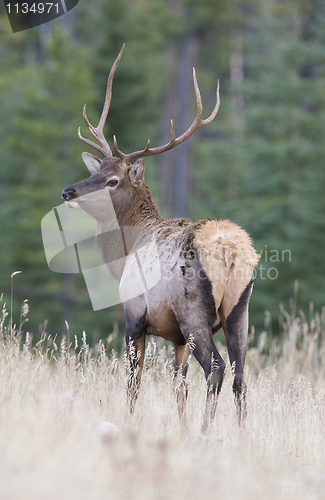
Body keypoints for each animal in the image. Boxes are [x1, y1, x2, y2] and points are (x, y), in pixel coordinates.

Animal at [60, 45, 258, 432]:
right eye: (96, 171)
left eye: (113, 181)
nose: (68, 191)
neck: (122, 252)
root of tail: (230, 251)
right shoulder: (176, 338)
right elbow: (178, 385)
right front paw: (180, 429)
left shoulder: (135, 315)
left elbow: (133, 380)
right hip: (238, 312)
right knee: (241, 376)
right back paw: (243, 435)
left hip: (193, 313)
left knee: (217, 369)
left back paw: (206, 431)